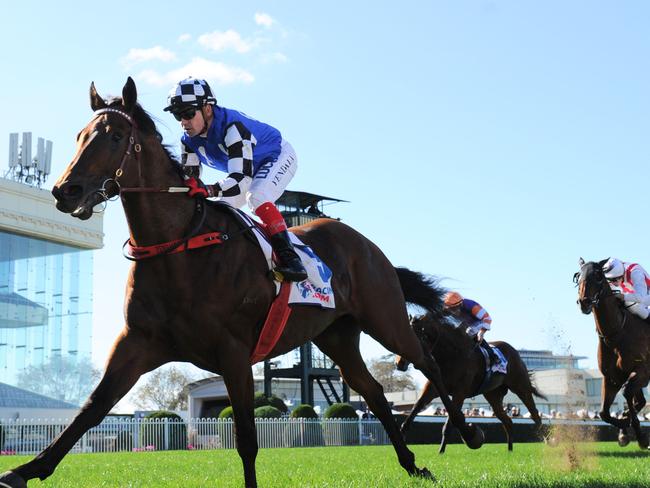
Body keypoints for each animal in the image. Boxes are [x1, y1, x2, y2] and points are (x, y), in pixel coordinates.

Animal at [0, 77, 480, 488]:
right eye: (80, 135)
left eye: (115, 136)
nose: (65, 191)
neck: (179, 246)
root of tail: (366, 245)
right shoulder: (137, 342)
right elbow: (91, 408)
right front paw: (26, 469)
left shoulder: (233, 352)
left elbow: (247, 437)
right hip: (337, 336)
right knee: (375, 393)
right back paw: (412, 464)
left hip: (385, 319)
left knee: (427, 363)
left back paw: (468, 434)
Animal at [394, 314, 548, 452]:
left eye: (412, 337)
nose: (399, 363)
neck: (450, 354)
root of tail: (515, 352)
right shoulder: (432, 389)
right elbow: (416, 408)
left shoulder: (459, 393)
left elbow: (449, 422)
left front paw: (441, 452)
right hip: (493, 396)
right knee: (508, 421)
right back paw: (509, 451)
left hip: (521, 387)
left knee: (535, 414)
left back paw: (544, 441)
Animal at [572, 260, 648, 450]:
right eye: (578, 276)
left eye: (598, 275)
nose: (584, 302)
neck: (617, 334)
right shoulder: (612, 377)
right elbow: (603, 413)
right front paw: (623, 431)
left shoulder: (642, 372)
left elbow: (626, 393)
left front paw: (640, 435)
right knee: (640, 402)